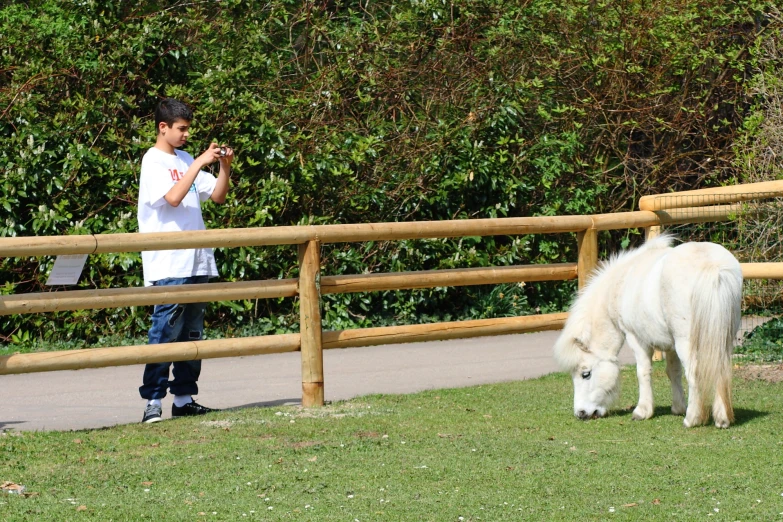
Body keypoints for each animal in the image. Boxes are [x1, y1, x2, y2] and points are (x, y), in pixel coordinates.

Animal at [556, 235, 744, 426]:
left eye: (585, 374)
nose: (580, 413)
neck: (622, 283)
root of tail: (711, 265)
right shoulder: (671, 345)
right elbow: (673, 372)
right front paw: (678, 407)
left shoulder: (636, 339)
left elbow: (643, 372)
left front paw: (642, 411)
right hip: (722, 340)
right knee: (721, 370)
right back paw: (722, 418)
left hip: (686, 342)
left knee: (694, 372)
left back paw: (692, 419)